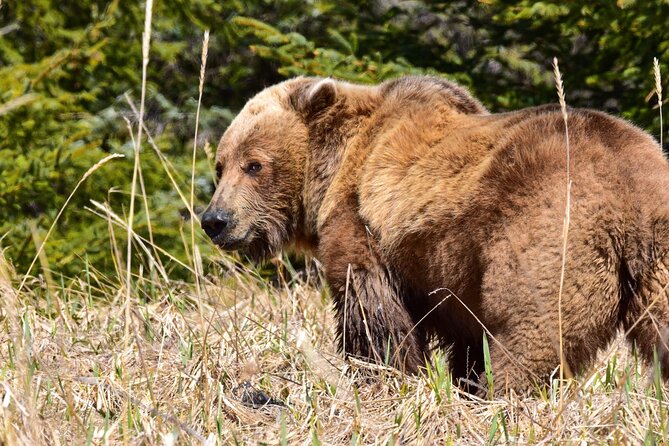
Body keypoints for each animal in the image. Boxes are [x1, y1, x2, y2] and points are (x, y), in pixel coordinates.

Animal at [201, 75, 669, 394]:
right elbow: (464, 340)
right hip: (658, 259)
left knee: (529, 330)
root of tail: (628, 191)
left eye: (254, 164)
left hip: (546, 229)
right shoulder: (449, 276)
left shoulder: (365, 228)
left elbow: (370, 312)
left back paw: (502, 398)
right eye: (220, 166)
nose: (215, 220)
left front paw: (383, 375)